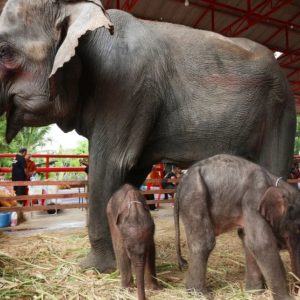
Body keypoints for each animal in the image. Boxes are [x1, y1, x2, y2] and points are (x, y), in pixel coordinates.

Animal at [0, 0, 296, 272]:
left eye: (3, 51)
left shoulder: (125, 88)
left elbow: (110, 165)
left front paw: (94, 268)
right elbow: (129, 174)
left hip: (280, 109)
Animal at [175, 155, 298, 300]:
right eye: (297, 229)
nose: (296, 290)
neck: (277, 183)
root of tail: (182, 181)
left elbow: (247, 241)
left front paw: (253, 292)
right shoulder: (253, 200)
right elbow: (261, 243)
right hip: (194, 197)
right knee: (203, 242)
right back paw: (199, 294)